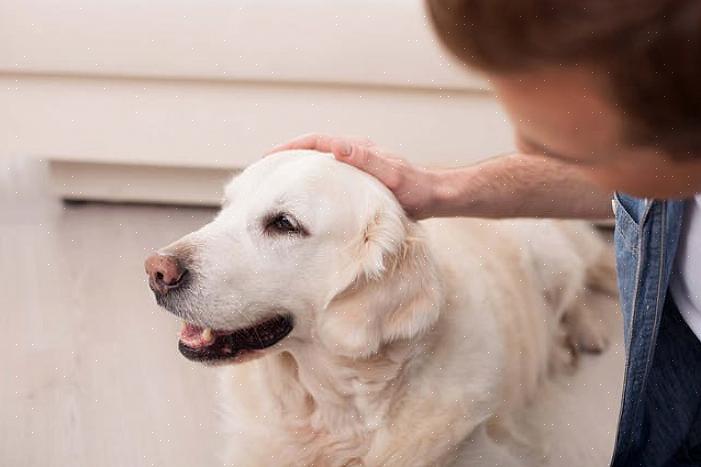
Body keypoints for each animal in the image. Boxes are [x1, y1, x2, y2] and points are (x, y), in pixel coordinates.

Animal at [144, 151, 612, 467]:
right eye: (224, 207)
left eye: (284, 224)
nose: (156, 271)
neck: (332, 413)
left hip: (550, 253)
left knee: (577, 289)